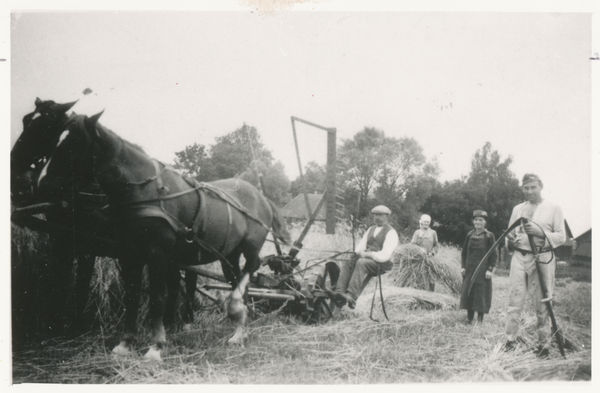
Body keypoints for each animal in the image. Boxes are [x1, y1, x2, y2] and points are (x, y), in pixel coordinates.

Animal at [35, 109, 290, 358]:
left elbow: (157, 298)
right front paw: (126, 344)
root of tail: (261, 196)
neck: (143, 190)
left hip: (250, 247)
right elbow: (131, 297)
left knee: (251, 268)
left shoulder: (157, 255)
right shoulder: (129, 255)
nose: (42, 184)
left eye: (74, 143)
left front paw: (156, 347)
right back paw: (239, 331)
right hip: (229, 255)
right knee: (238, 281)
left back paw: (236, 311)